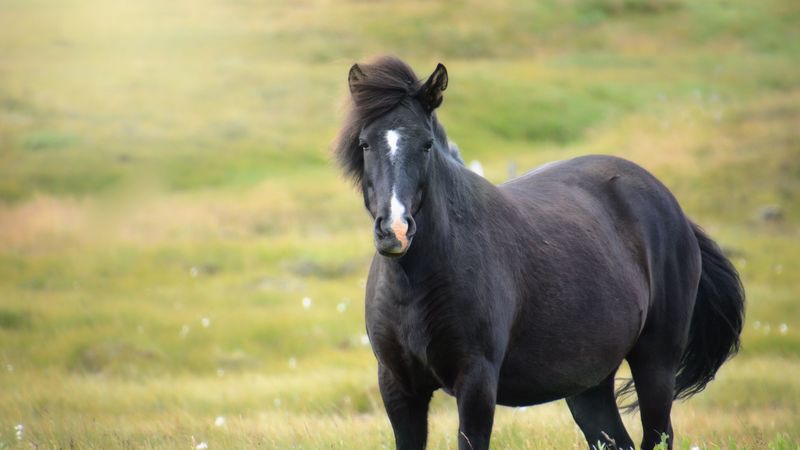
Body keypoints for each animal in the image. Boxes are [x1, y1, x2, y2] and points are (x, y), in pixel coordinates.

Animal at [333, 56, 744, 450]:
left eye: (426, 144)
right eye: (365, 143)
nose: (395, 230)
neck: (416, 282)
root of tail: (672, 208)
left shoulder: (476, 383)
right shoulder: (398, 386)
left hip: (655, 362)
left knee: (658, 435)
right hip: (589, 384)